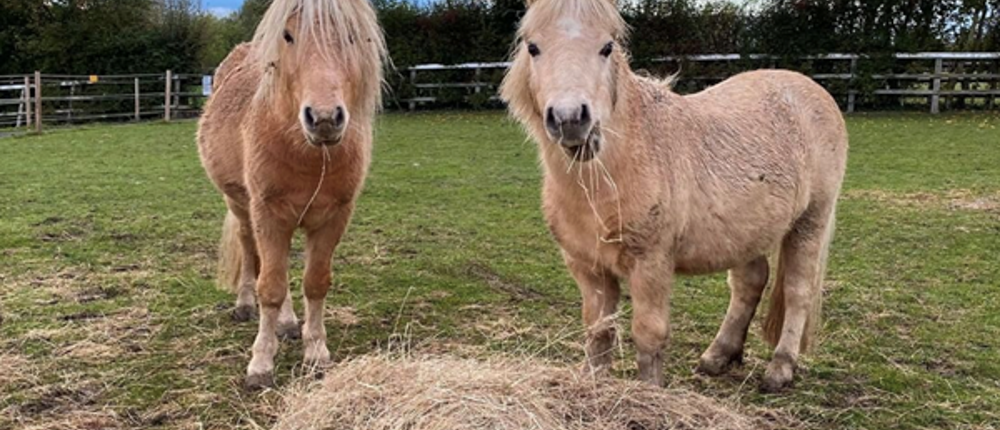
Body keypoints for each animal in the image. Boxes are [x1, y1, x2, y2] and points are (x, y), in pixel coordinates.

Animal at [196, 0, 386, 389]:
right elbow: (270, 287)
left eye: (351, 35)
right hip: (241, 207)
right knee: (251, 253)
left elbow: (315, 283)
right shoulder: (268, 215)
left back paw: (286, 324)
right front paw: (260, 365)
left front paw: (316, 353)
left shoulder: (333, 218)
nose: (324, 118)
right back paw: (244, 304)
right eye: (287, 35)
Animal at [499, 0, 847, 391]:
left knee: (798, 291)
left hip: (811, 221)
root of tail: (810, 89)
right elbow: (599, 333)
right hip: (746, 232)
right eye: (533, 47)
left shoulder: (651, 264)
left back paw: (781, 367)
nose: (571, 119)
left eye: (607, 47)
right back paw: (718, 356)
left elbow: (648, 336)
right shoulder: (587, 267)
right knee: (750, 281)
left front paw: (650, 392)